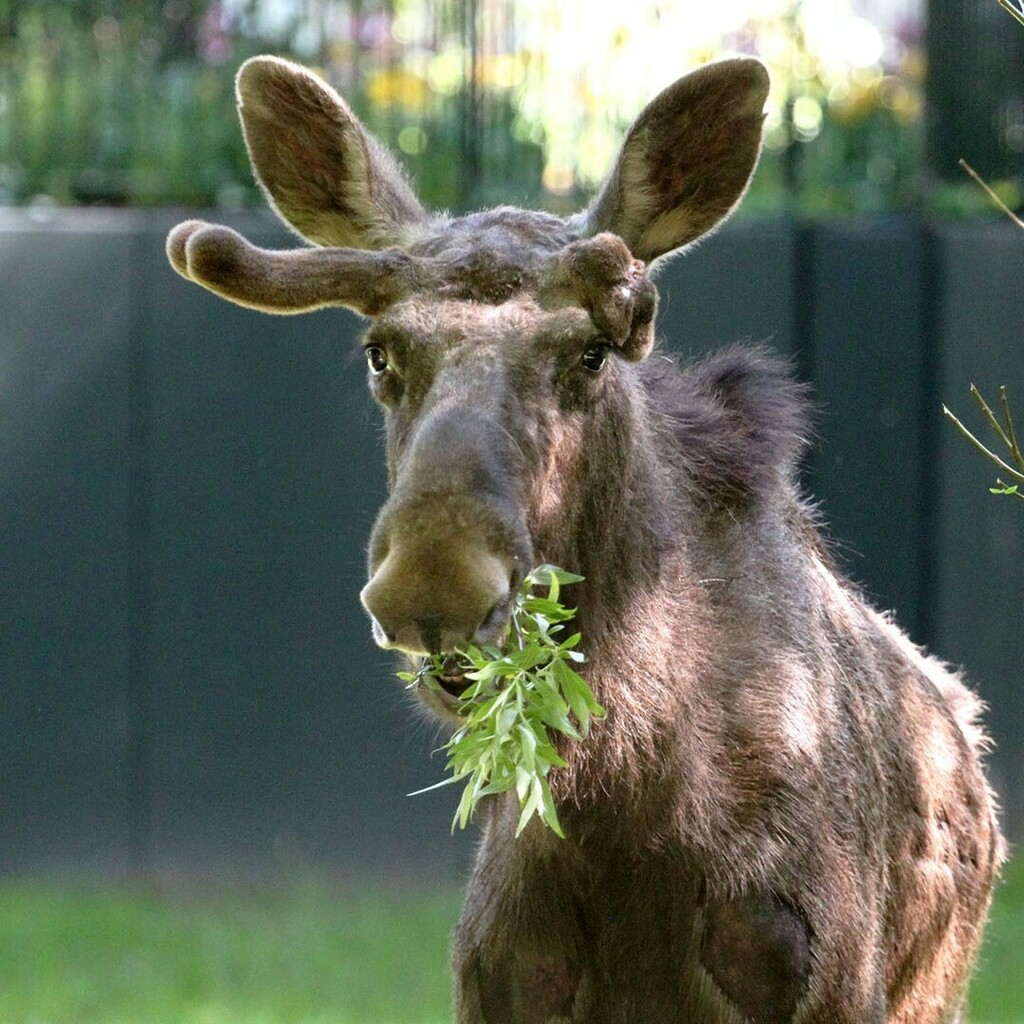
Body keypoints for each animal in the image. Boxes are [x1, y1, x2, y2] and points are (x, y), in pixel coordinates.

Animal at [166, 54, 1003, 1024]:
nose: (434, 582)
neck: (631, 819)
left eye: (592, 353)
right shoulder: (497, 980)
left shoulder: (826, 979)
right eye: (380, 352)